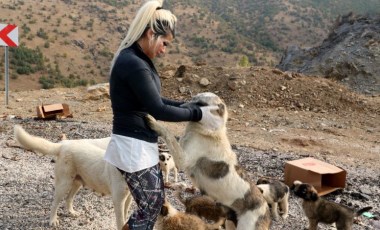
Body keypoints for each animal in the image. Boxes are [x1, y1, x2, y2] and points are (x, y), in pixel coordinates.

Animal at [145, 92, 270, 230]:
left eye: (200, 103)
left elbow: (168, 133)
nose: (181, 107)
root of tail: (265, 211)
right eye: (192, 99)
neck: (208, 132)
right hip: (230, 223)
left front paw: (154, 122)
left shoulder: (182, 159)